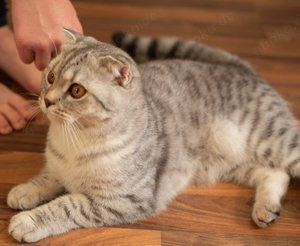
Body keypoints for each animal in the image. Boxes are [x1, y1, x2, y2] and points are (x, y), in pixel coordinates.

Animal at [6, 28, 300, 242]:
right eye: (51, 76)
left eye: (77, 91)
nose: (47, 100)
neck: (74, 140)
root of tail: (241, 68)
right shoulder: (58, 167)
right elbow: (46, 178)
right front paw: (24, 191)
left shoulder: (123, 199)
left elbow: (66, 205)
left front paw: (29, 220)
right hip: (231, 164)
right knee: (274, 173)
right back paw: (266, 209)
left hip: (275, 142)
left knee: (284, 167)